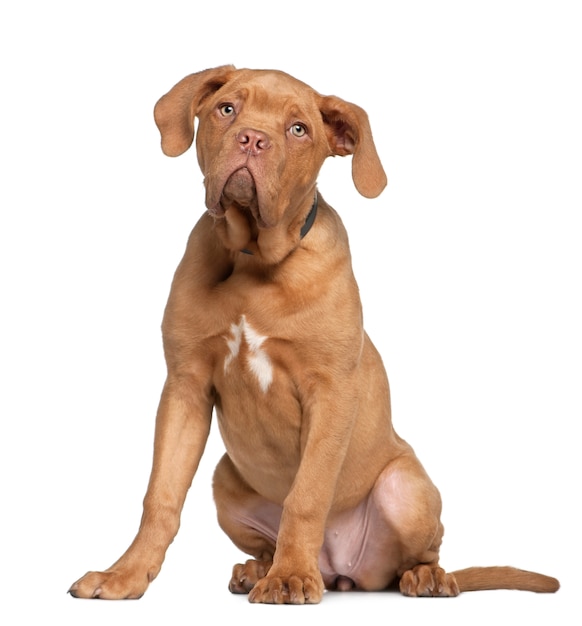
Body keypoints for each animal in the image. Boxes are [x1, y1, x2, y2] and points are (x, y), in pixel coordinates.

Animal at [69, 66, 560, 604]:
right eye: (227, 109)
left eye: (298, 129)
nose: (252, 139)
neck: (253, 259)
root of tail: (340, 569)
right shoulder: (185, 387)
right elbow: (160, 496)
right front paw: (125, 575)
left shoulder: (331, 393)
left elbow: (306, 495)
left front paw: (288, 578)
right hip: (225, 479)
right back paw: (258, 568)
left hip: (405, 487)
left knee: (417, 556)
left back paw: (421, 578)